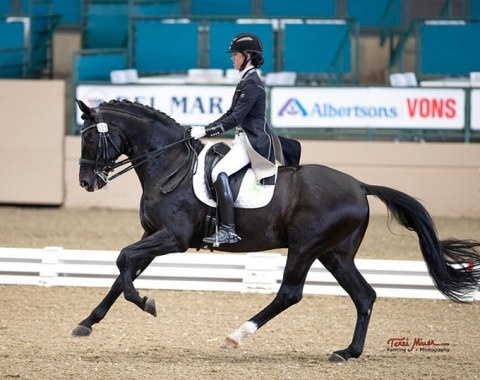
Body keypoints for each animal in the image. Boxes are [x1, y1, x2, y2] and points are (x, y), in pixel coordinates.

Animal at [73, 98, 478, 362]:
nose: (86, 183)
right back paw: (348, 352)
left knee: (290, 293)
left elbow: (123, 261)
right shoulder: (152, 236)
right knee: (364, 296)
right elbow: (122, 270)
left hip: (305, 247)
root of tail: (360, 185)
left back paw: (236, 336)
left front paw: (146, 302)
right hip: (335, 253)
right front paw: (86, 323)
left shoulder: (174, 239)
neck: (168, 163)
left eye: (89, 137)